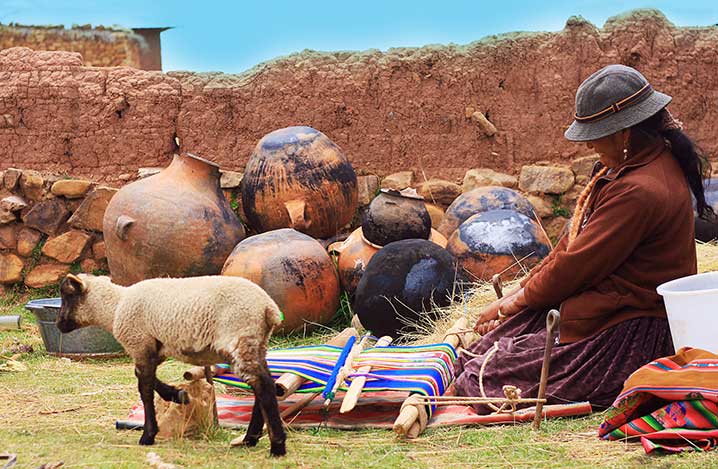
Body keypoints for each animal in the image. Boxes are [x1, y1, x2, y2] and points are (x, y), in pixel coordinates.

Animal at [57, 272, 286, 456]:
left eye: (67, 296)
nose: (59, 325)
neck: (114, 308)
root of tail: (268, 308)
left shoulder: (140, 344)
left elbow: (144, 389)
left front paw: (148, 435)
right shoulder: (154, 350)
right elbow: (145, 379)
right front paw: (177, 395)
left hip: (240, 338)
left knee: (264, 386)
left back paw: (277, 446)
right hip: (256, 344)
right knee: (263, 386)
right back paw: (250, 439)